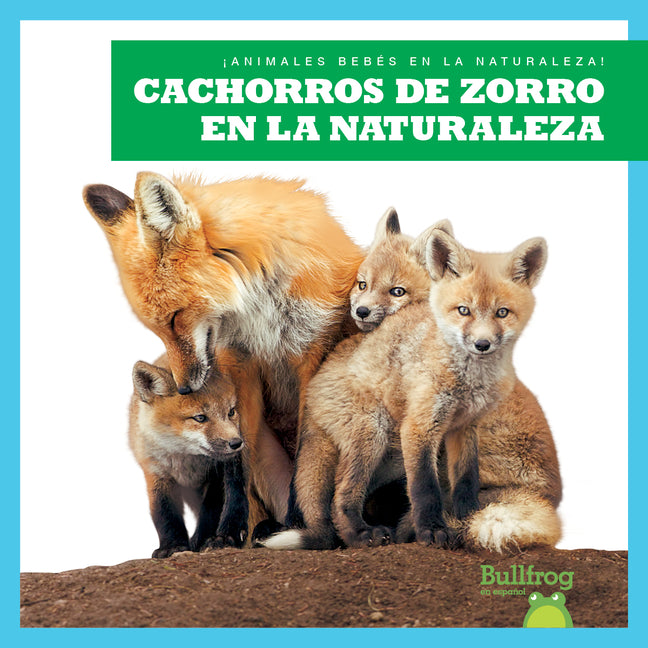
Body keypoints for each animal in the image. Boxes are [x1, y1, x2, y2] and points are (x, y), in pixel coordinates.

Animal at [130, 349, 291, 558]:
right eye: (200, 418)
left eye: (231, 412)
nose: (236, 443)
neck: (185, 460)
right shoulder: (156, 472)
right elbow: (164, 514)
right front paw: (172, 546)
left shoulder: (216, 475)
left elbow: (210, 513)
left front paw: (203, 541)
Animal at [264, 225, 552, 551]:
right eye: (463, 310)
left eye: (502, 313)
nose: (482, 344)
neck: (468, 380)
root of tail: (315, 383)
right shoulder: (420, 426)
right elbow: (425, 489)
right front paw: (433, 532)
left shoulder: (464, 427)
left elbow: (466, 481)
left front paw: (468, 518)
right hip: (372, 434)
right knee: (341, 495)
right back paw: (360, 535)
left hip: (391, 457)